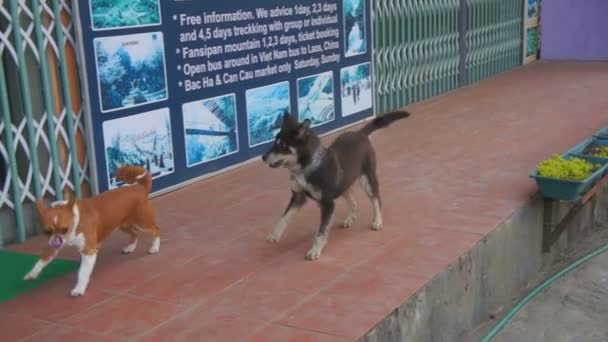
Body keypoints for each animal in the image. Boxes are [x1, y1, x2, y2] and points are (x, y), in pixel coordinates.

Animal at [25, 164, 160, 296]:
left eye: (65, 229)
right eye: (47, 231)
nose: (57, 241)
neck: (75, 220)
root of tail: (140, 187)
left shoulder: (88, 251)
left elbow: (82, 273)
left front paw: (79, 288)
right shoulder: (52, 245)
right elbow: (42, 260)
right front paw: (32, 273)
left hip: (142, 223)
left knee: (156, 230)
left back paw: (154, 248)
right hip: (123, 225)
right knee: (135, 233)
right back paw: (130, 247)